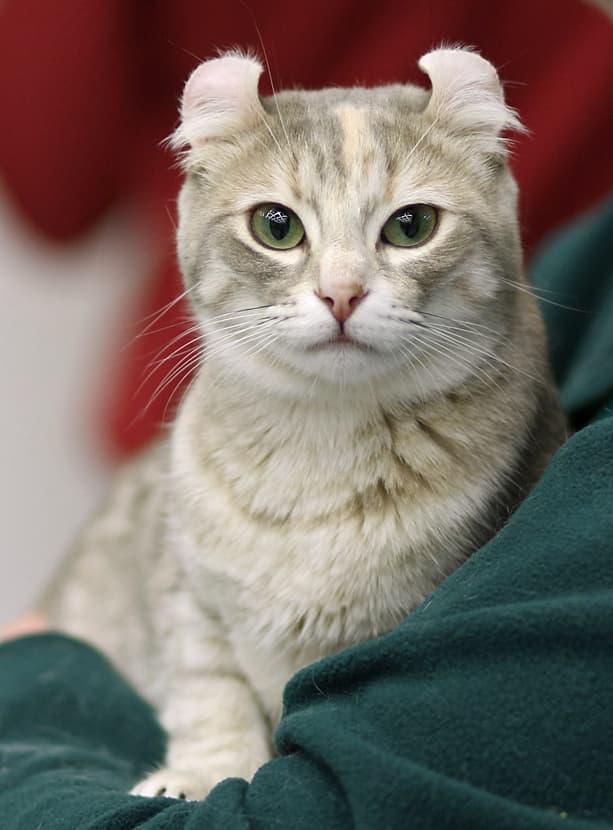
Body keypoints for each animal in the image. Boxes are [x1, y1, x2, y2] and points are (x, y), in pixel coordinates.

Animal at [40, 45, 568, 800]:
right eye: (277, 226)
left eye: (411, 226)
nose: (340, 293)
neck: (313, 452)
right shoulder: (184, 593)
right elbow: (208, 688)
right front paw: (203, 772)